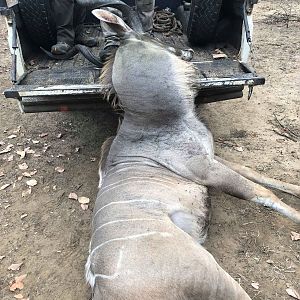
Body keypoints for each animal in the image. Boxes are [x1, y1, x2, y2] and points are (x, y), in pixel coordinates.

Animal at [85, 9, 300, 300]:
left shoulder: (210, 156)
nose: (187, 50)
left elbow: (254, 174)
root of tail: (101, 285)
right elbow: (259, 192)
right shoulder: (205, 168)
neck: (159, 119)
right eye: (152, 36)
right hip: (212, 272)